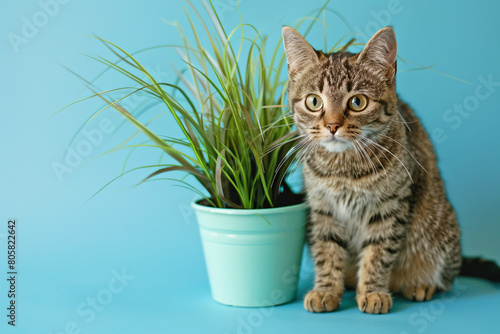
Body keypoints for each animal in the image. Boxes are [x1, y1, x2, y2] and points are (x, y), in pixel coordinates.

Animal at [282, 25, 500, 314]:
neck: (343, 168)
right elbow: (327, 250)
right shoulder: (322, 208)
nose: (332, 126)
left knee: (446, 278)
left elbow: (378, 253)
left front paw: (373, 291)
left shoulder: (390, 208)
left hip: (440, 233)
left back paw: (421, 285)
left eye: (358, 102)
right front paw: (326, 289)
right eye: (314, 102)